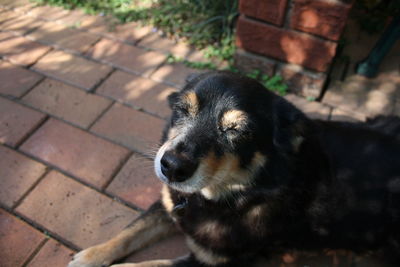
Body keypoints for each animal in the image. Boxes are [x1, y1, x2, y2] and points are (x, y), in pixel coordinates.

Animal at [69, 71, 400, 267]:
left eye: (237, 131)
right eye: (182, 110)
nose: (171, 167)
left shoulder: (213, 263)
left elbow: (149, 264)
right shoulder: (168, 203)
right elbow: (130, 231)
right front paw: (91, 256)